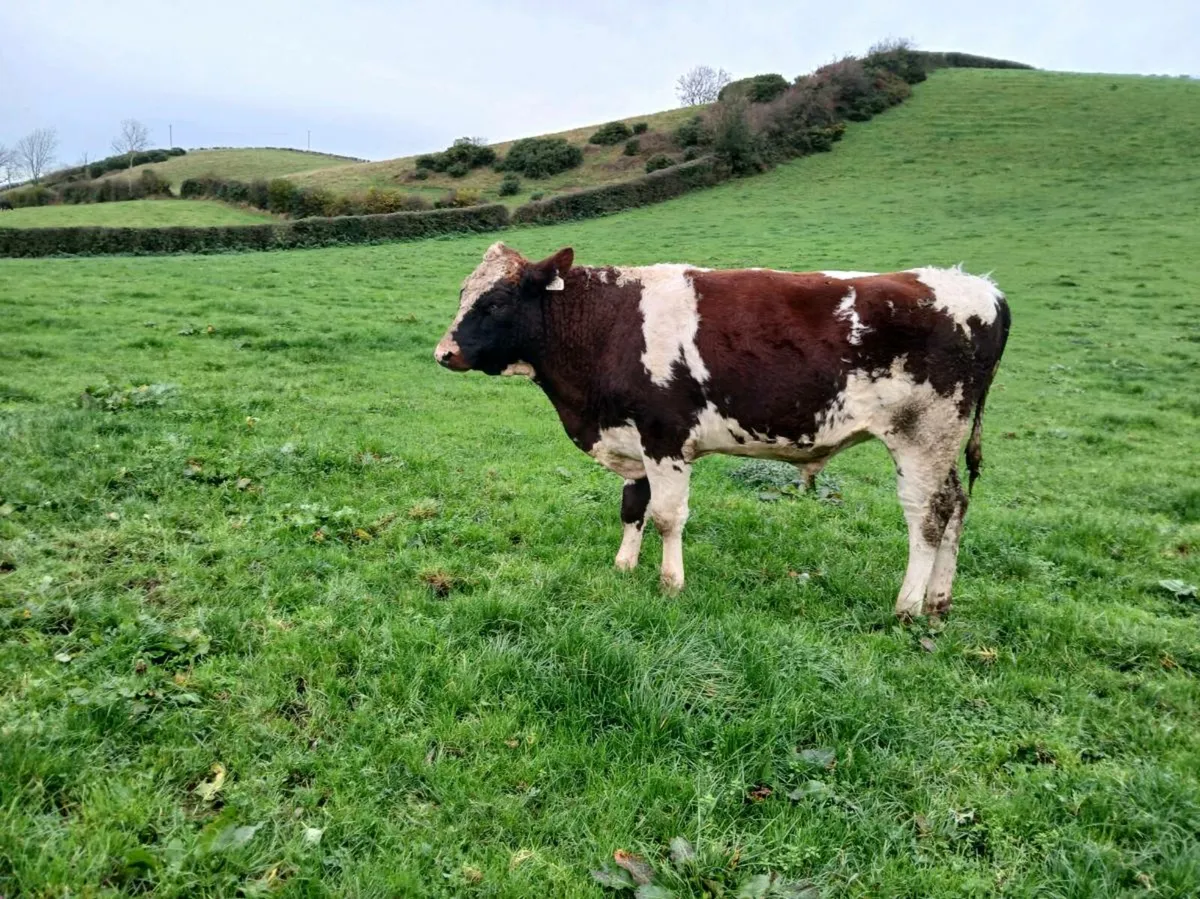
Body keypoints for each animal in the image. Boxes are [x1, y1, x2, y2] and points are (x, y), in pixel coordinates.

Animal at [435, 242, 1010, 618]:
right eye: (463, 291)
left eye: (495, 302)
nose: (444, 353)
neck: (607, 325)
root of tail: (979, 286)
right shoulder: (632, 437)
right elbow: (632, 507)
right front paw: (623, 568)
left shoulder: (665, 433)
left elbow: (667, 516)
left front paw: (670, 584)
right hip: (940, 441)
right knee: (957, 504)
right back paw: (939, 600)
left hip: (923, 434)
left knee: (928, 514)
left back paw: (907, 606)